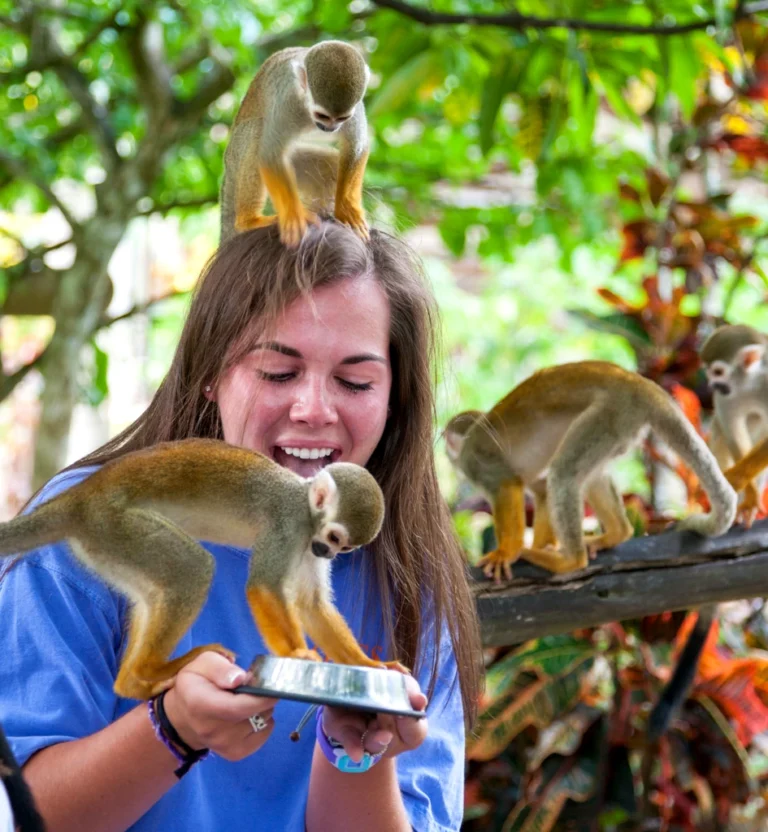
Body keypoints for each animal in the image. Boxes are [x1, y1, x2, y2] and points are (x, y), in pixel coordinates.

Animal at [0, 439, 401, 701]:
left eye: (344, 547)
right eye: (334, 537)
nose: (327, 552)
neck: (306, 510)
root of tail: (81, 497)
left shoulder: (305, 543)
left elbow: (311, 604)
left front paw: (367, 664)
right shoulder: (288, 524)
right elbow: (263, 586)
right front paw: (298, 654)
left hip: (107, 542)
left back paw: (131, 681)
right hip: (116, 524)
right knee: (192, 569)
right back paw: (151, 670)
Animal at [220, 40, 370, 248]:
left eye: (342, 118)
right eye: (322, 116)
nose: (330, 127)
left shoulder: (355, 108)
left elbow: (356, 146)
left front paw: (347, 210)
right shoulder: (286, 100)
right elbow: (270, 153)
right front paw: (293, 217)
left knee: (329, 166)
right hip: (236, 154)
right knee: (257, 130)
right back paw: (249, 221)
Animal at [444, 361, 737, 583]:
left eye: (447, 439)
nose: (445, 450)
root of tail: (642, 384)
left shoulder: (477, 462)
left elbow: (508, 484)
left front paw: (507, 551)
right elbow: (541, 490)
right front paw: (543, 545)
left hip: (611, 412)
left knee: (564, 473)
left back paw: (569, 561)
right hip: (622, 427)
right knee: (587, 475)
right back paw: (616, 533)